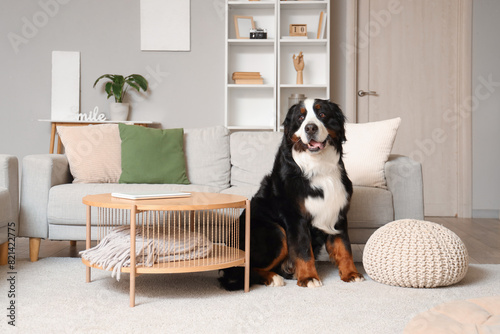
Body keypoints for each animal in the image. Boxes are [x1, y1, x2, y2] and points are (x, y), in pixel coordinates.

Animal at [221, 98, 366, 288]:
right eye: (300, 117)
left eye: (322, 114)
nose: (310, 128)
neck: (319, 167)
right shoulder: (295, 217)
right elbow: (303, 250)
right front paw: (309, 278)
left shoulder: (338, 213)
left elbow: (344, 247)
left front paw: (351, 273)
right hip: (275, 231)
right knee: (241, 271)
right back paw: (272, 277)